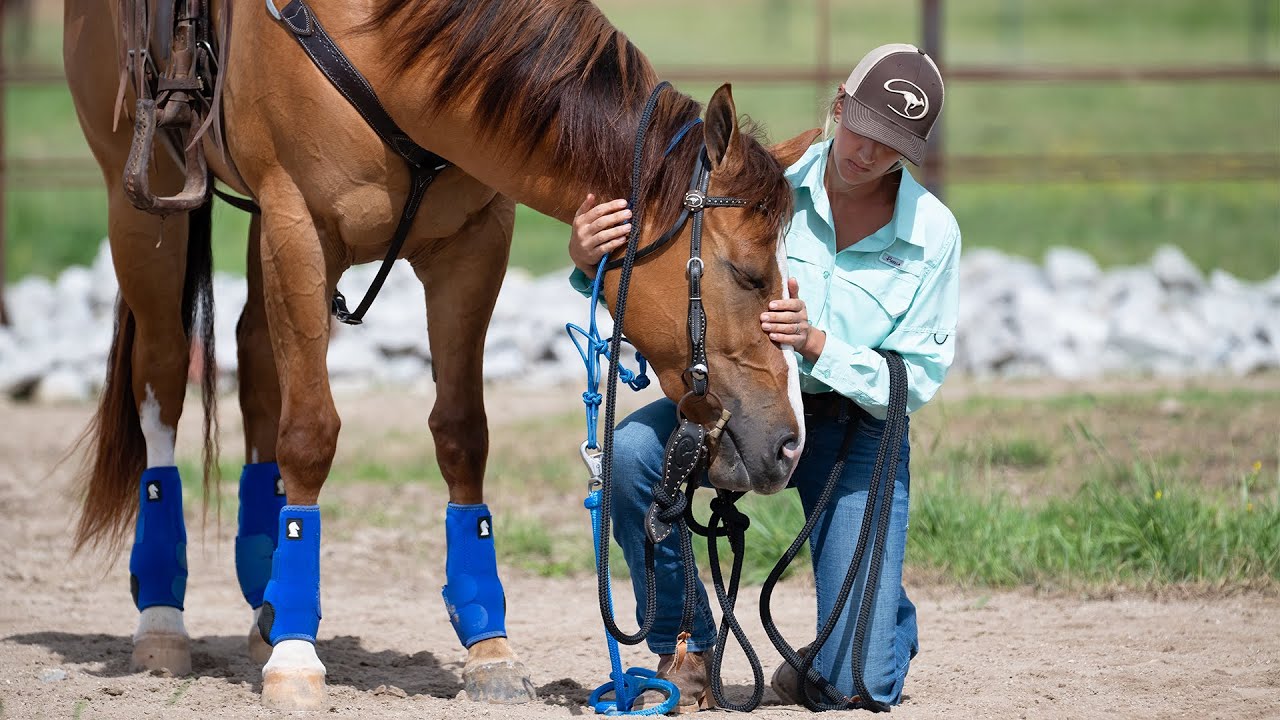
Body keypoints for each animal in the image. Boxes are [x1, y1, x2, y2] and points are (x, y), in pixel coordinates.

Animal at [63, 0, 815, 710]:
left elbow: (460, 435)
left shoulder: (472, 244)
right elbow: (309, 436)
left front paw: (491, 649)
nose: (789, 443)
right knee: (164, 375)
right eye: (748, 274)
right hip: (147, 206)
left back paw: (263, 603)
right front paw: (296, 656)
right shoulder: (298, 227)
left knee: (256, 365)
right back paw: (163, 620)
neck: (380, 35)